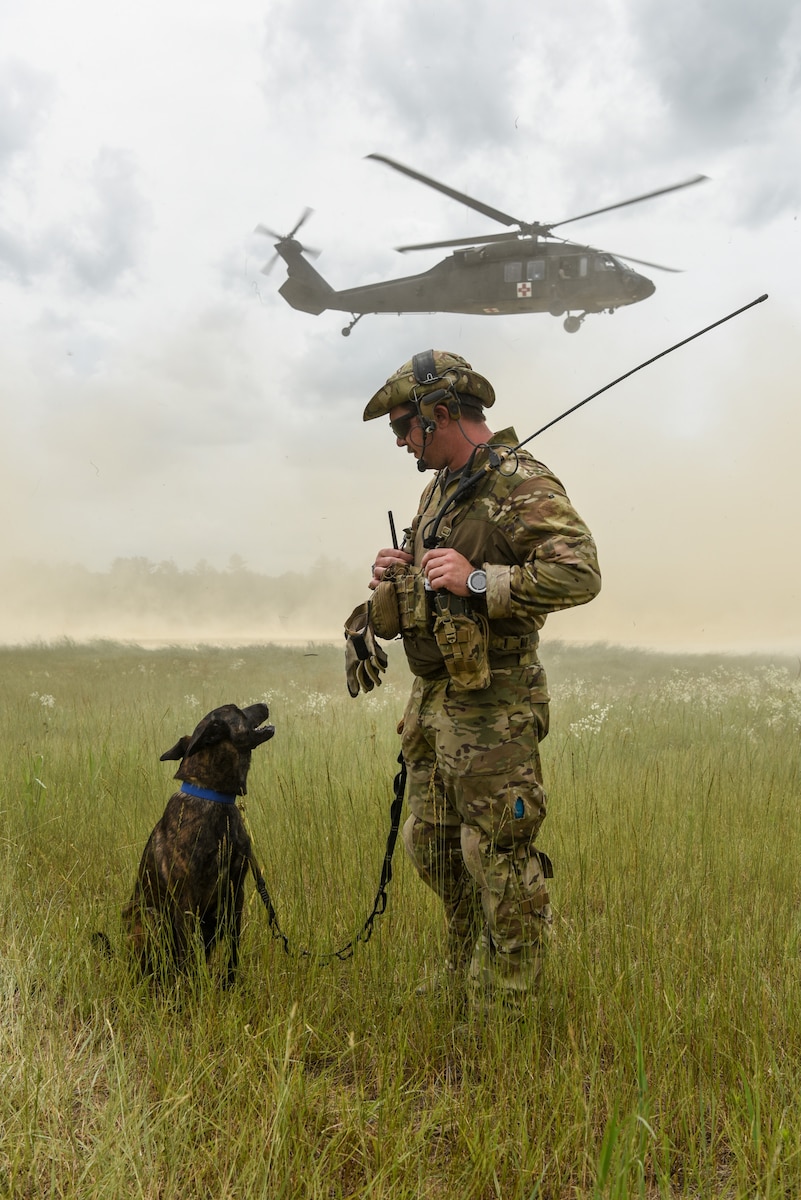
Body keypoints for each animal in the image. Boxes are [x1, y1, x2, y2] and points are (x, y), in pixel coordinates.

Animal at [121, 700, 275, 988]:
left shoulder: (235, 893)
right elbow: (188, 956)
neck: (215, 797)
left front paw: (229, 985)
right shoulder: (186, 901)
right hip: (151, 916)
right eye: (237, 709)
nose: (265, 704)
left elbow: (233, 948)